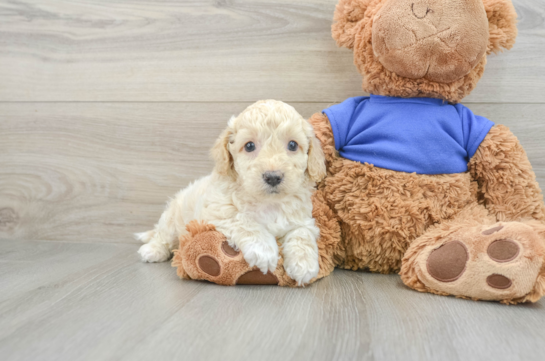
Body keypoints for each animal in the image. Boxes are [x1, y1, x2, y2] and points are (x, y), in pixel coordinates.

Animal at [135, 100, 326, 286]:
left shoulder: (303, 219)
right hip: (173, 217)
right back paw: (152, 250)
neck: (268, 202)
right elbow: (243, 220)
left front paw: (304, 265)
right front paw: (264, 250)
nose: (273, 177)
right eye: (249, 146)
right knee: (163, 236)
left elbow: (302, 233)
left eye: (292, 145)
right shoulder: (217, 212)